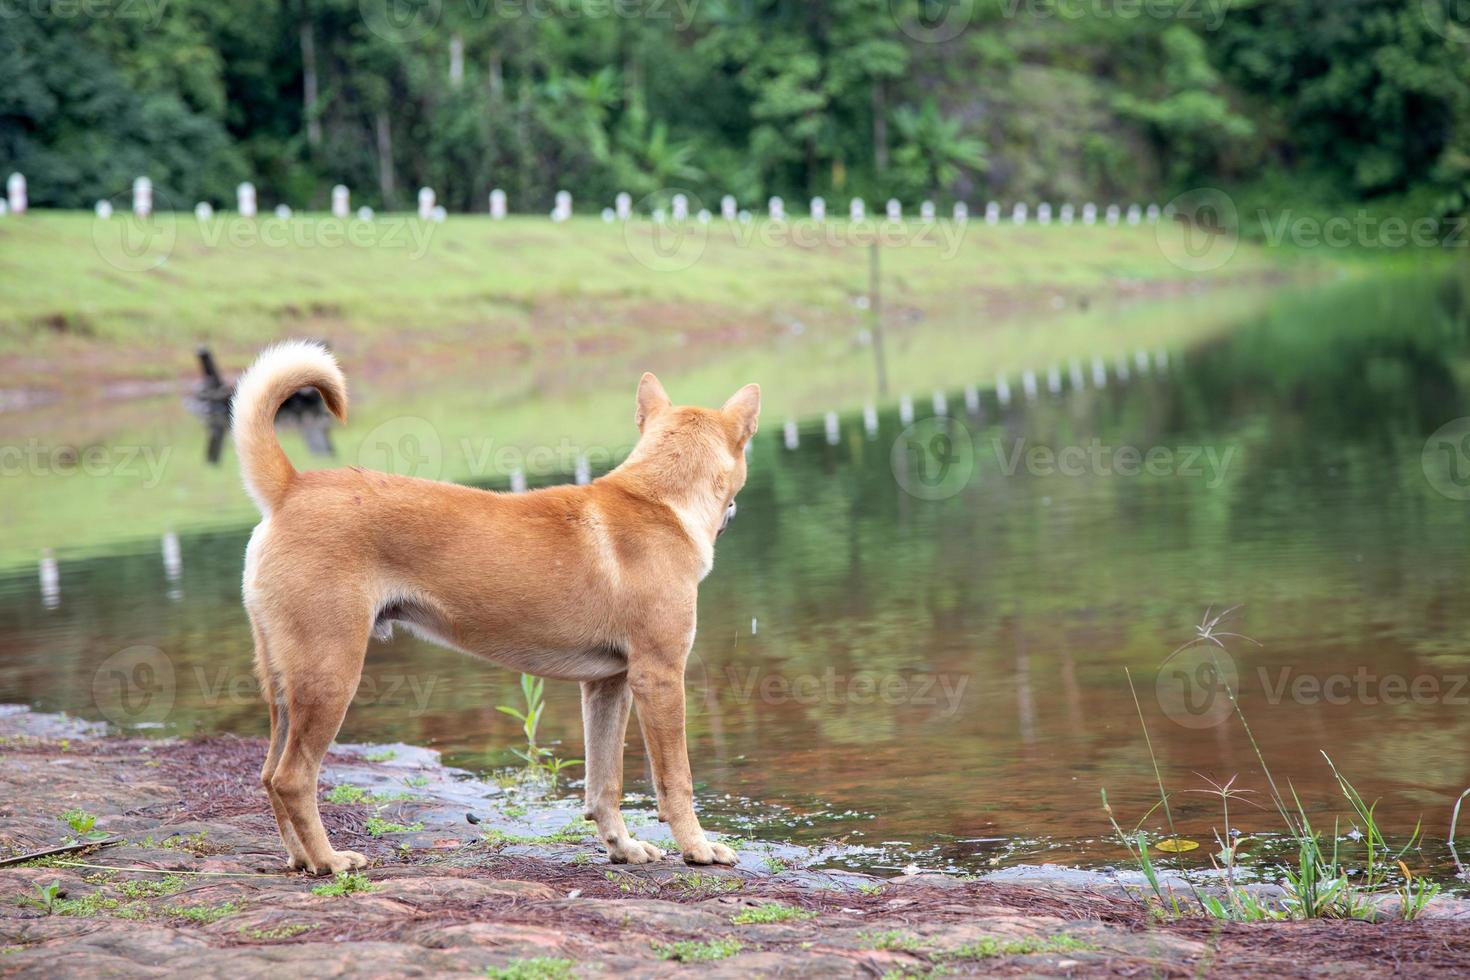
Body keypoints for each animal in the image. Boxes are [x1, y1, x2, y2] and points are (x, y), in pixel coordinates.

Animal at [232, 343, 758, 875]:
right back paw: (331, 861)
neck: (660, 499)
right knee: (294, 777)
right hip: (330, 674)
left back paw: (302, 859)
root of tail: (291, 487)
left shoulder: (607, 685)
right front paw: (698, 848)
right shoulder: (660, 676)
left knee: (269, 775)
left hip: (285, 681)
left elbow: (603, 784)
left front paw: (623, 848)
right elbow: (676, 780)